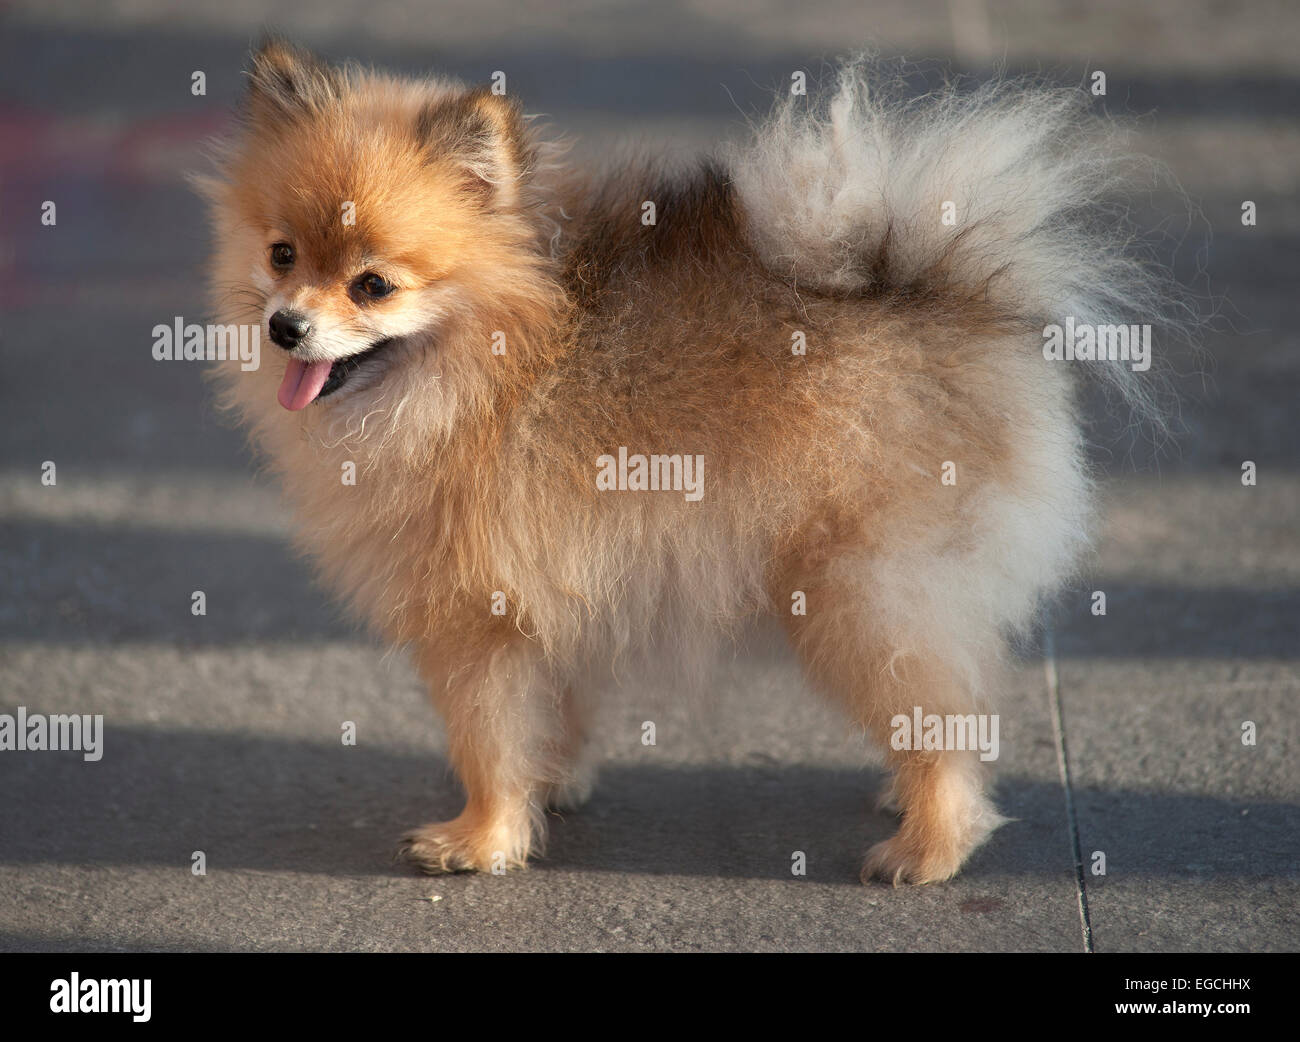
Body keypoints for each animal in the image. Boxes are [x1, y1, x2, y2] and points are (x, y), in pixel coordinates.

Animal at [200, 38, 1180, 878]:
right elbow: (552, 713)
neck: (486, 363)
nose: (286, 325)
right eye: (282, 254)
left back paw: (928, 845)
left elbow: (487, 739)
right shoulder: (547, 591)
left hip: (860, 591)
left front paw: (479, 838)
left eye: (373, 285)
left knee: (941, 717)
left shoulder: (476, 619)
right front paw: (552, 789)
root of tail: (942, 290)